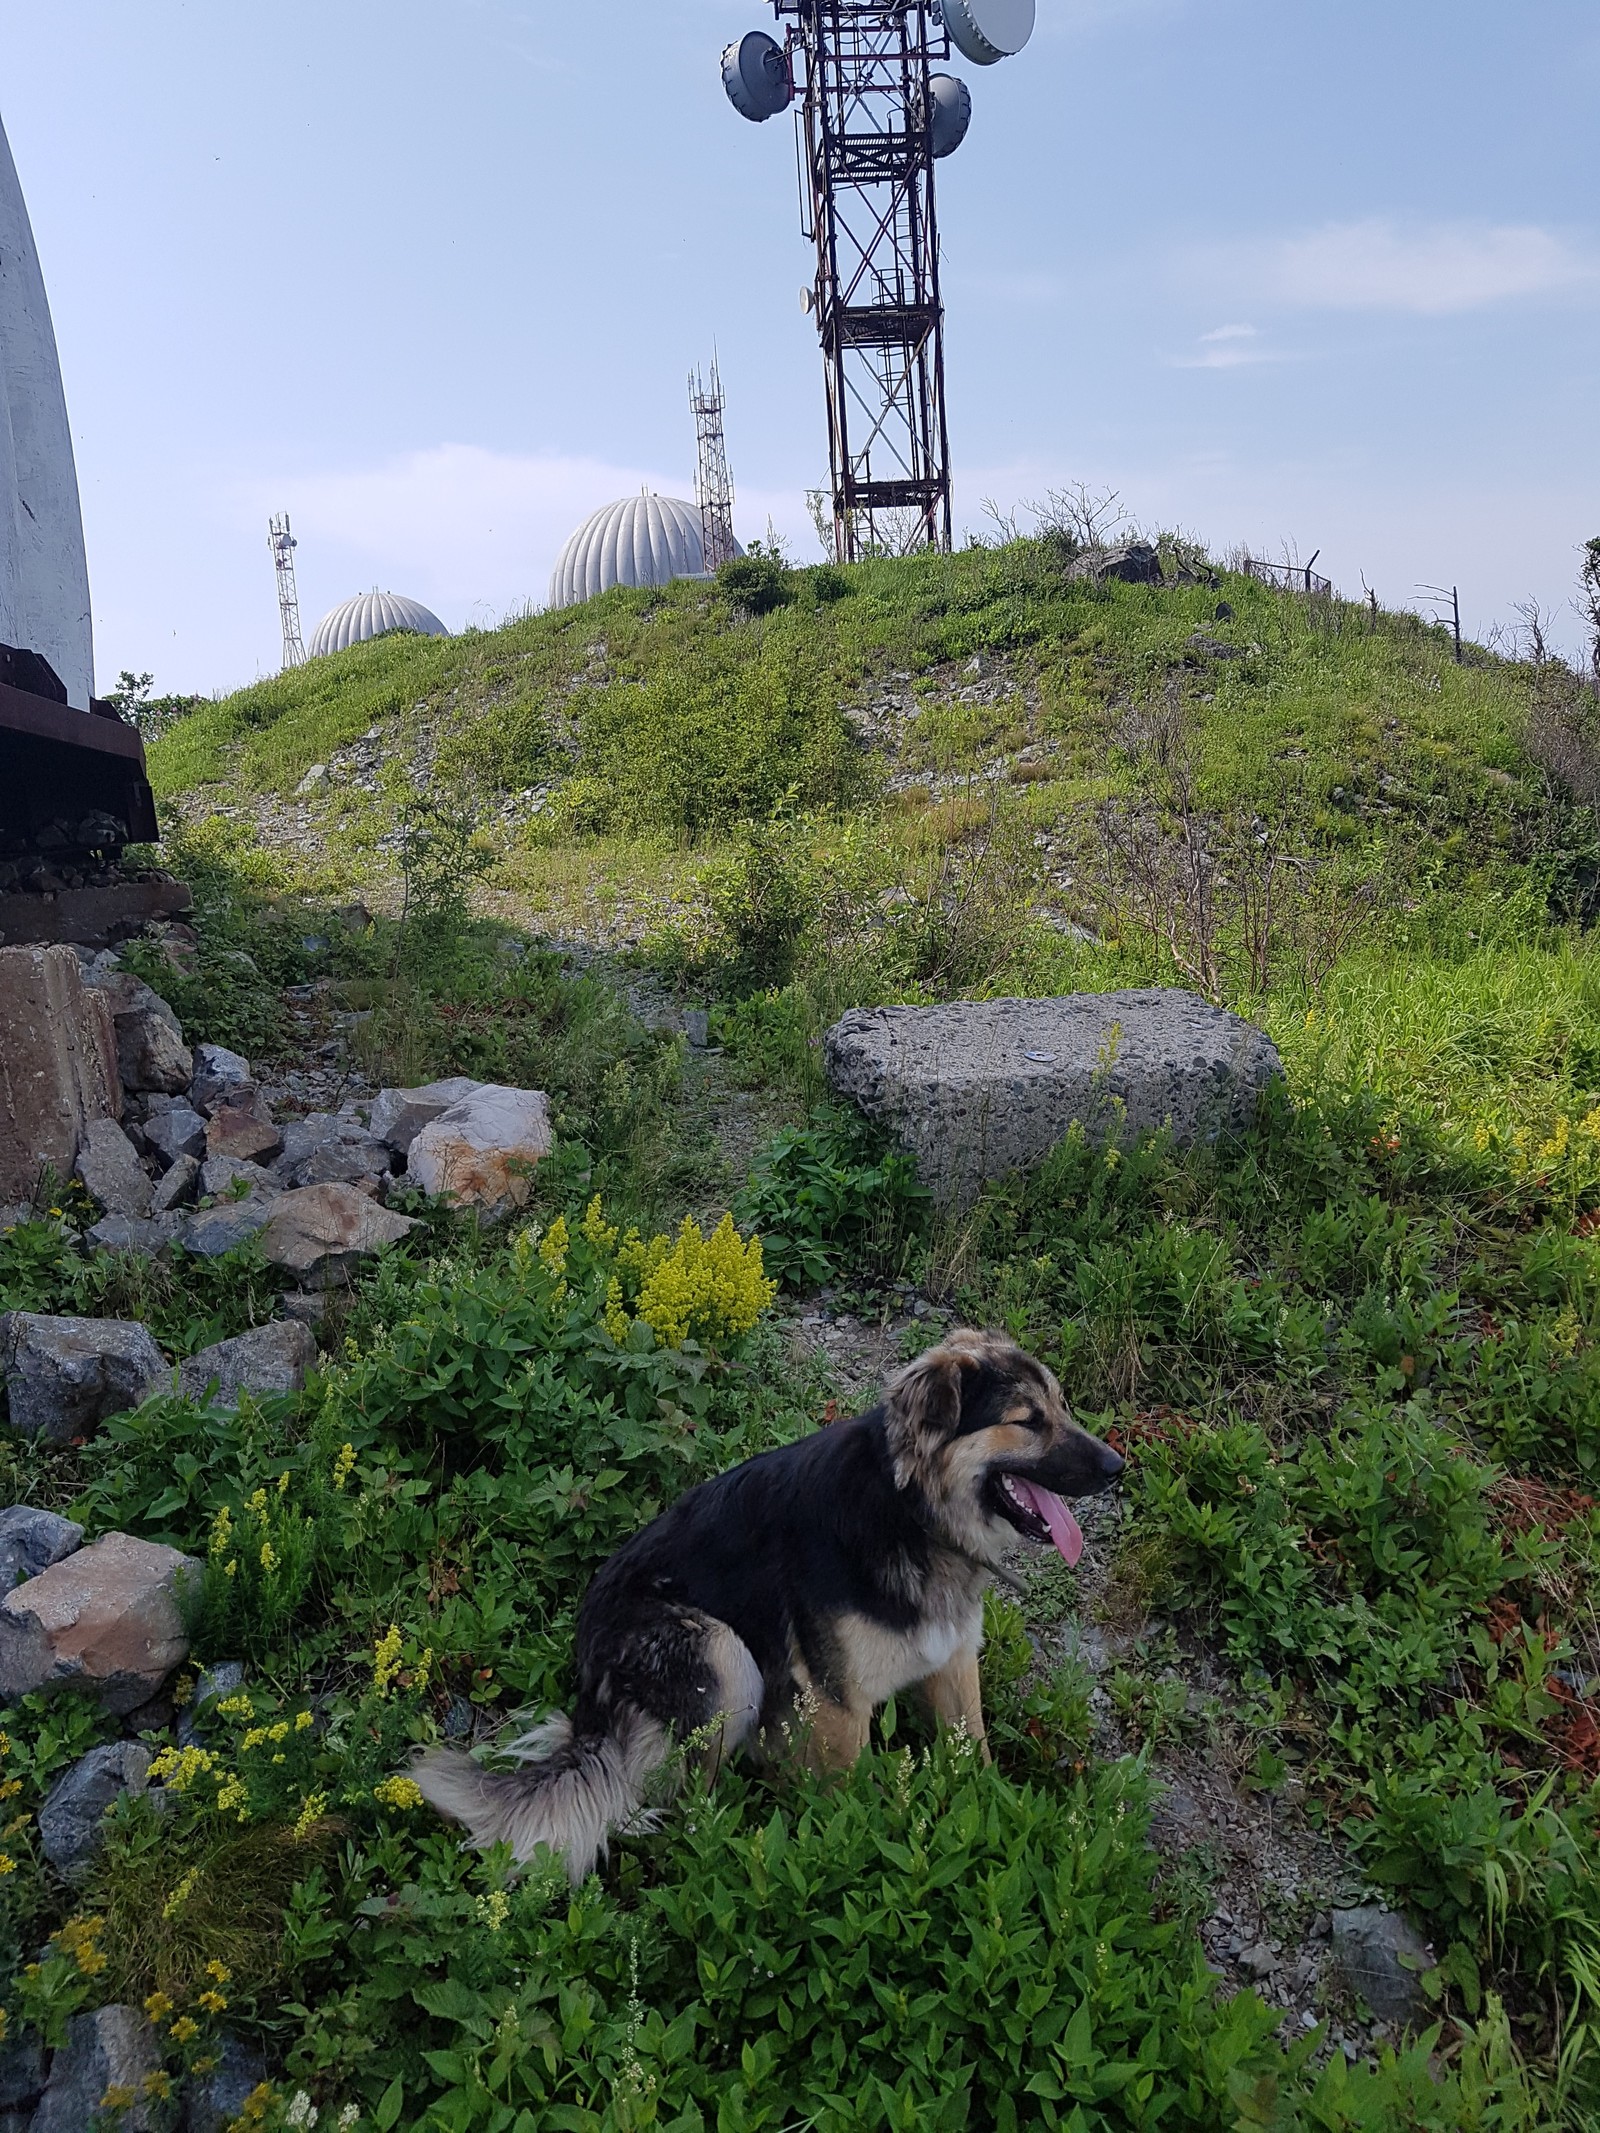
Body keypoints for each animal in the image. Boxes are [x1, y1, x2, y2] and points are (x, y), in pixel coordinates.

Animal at [413, 1330, 1126, 1885]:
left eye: (1061, 1406)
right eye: (1027, 1420)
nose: (1118, 1466)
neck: (912, 1513)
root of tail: (589, 1692)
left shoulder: (951, 1663)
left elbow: (974, 1760)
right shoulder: (838, 1705)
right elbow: (849, 1808)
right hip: (723, 1656)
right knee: (687, 1812)